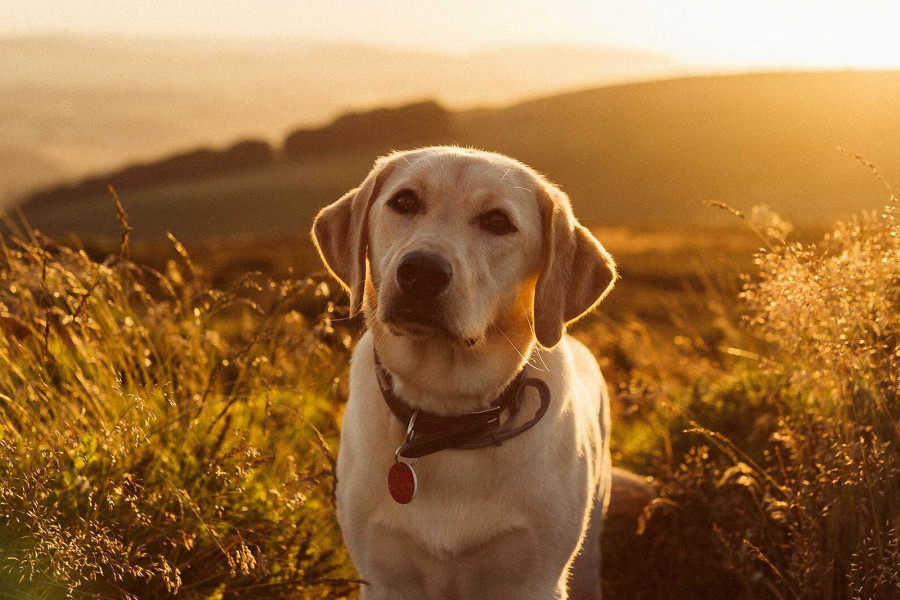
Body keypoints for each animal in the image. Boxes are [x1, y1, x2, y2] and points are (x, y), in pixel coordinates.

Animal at [312, 146, 616, 600]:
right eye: (404, 201)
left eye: (497, 221)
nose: (421, 271)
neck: (446, 417)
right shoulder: (384, 577)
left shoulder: (533, 579)